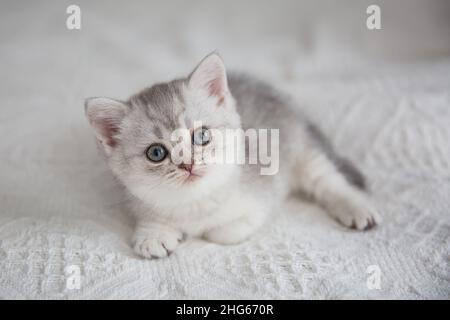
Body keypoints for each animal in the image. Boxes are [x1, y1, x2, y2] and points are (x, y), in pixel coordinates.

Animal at [84, 52, 380, 258]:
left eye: (201, 136)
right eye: (156, 153)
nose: (188, 165)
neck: (194, 202)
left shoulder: (261, 198)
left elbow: (224, 231)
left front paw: (207, 231)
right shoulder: (138, 199)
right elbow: (152, 219)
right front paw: (153, 234)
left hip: (302, 152)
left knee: (329, 181)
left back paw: (357, 208)